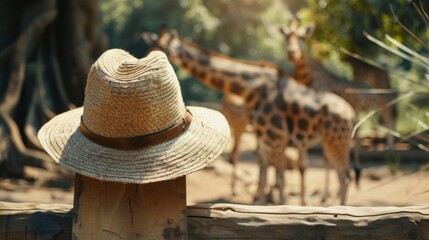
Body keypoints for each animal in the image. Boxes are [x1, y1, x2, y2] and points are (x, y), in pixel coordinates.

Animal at [143, 28, 358, 204]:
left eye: (163, 48)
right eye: (151, 46)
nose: (145, 61)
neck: (252, 89)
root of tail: (352, 115)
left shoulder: (276, 138)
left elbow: (279, 179)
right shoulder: (267, 139)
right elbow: (265, 175)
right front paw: (262, 204)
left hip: (335, 141)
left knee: (345, 176)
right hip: (331, 141)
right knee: (343, 174)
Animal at [280, 22, 398, 150]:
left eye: (302, 37)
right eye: (286, 37)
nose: (291, 53)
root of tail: (385, 72)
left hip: (383, 99)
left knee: (390, 117)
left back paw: (389, 147)